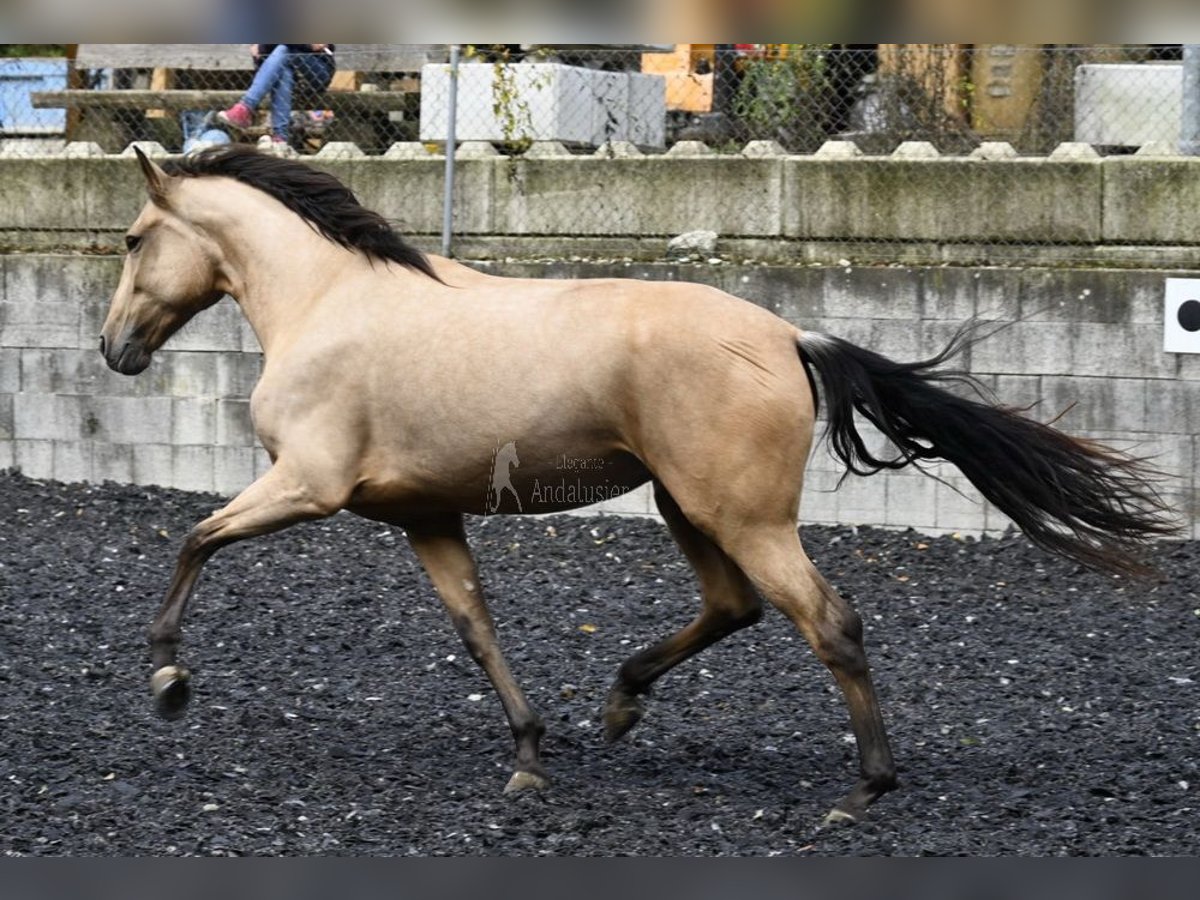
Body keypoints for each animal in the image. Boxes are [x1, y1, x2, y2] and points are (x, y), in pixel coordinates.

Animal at [100, 146, 1171, 825]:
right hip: (683, 505)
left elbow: (196, 537)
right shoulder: (424, 513)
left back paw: (863, 788)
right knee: (734, 607)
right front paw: (530, 757)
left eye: (132, 238)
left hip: (739, 515)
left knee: (828, 621)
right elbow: (475, 624)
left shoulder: (307, 485)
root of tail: (789, 335)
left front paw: (167, 678)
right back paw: (621, 702)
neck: (328, 301)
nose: (114, 351)